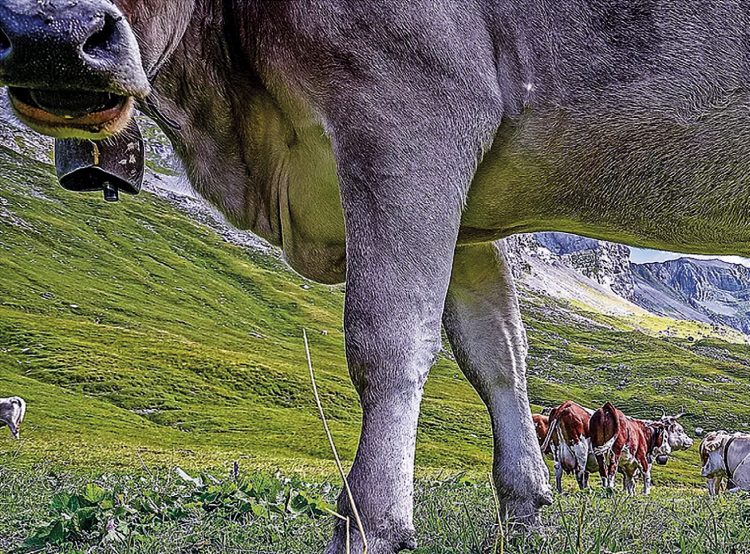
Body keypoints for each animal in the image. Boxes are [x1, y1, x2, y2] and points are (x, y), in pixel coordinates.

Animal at [4, 1, 750, 548]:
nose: (49, 33)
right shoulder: (469, 218)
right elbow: (497, 357)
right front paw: (523, 514)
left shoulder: (410, 113)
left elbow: (386, 341)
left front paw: (371, 524)